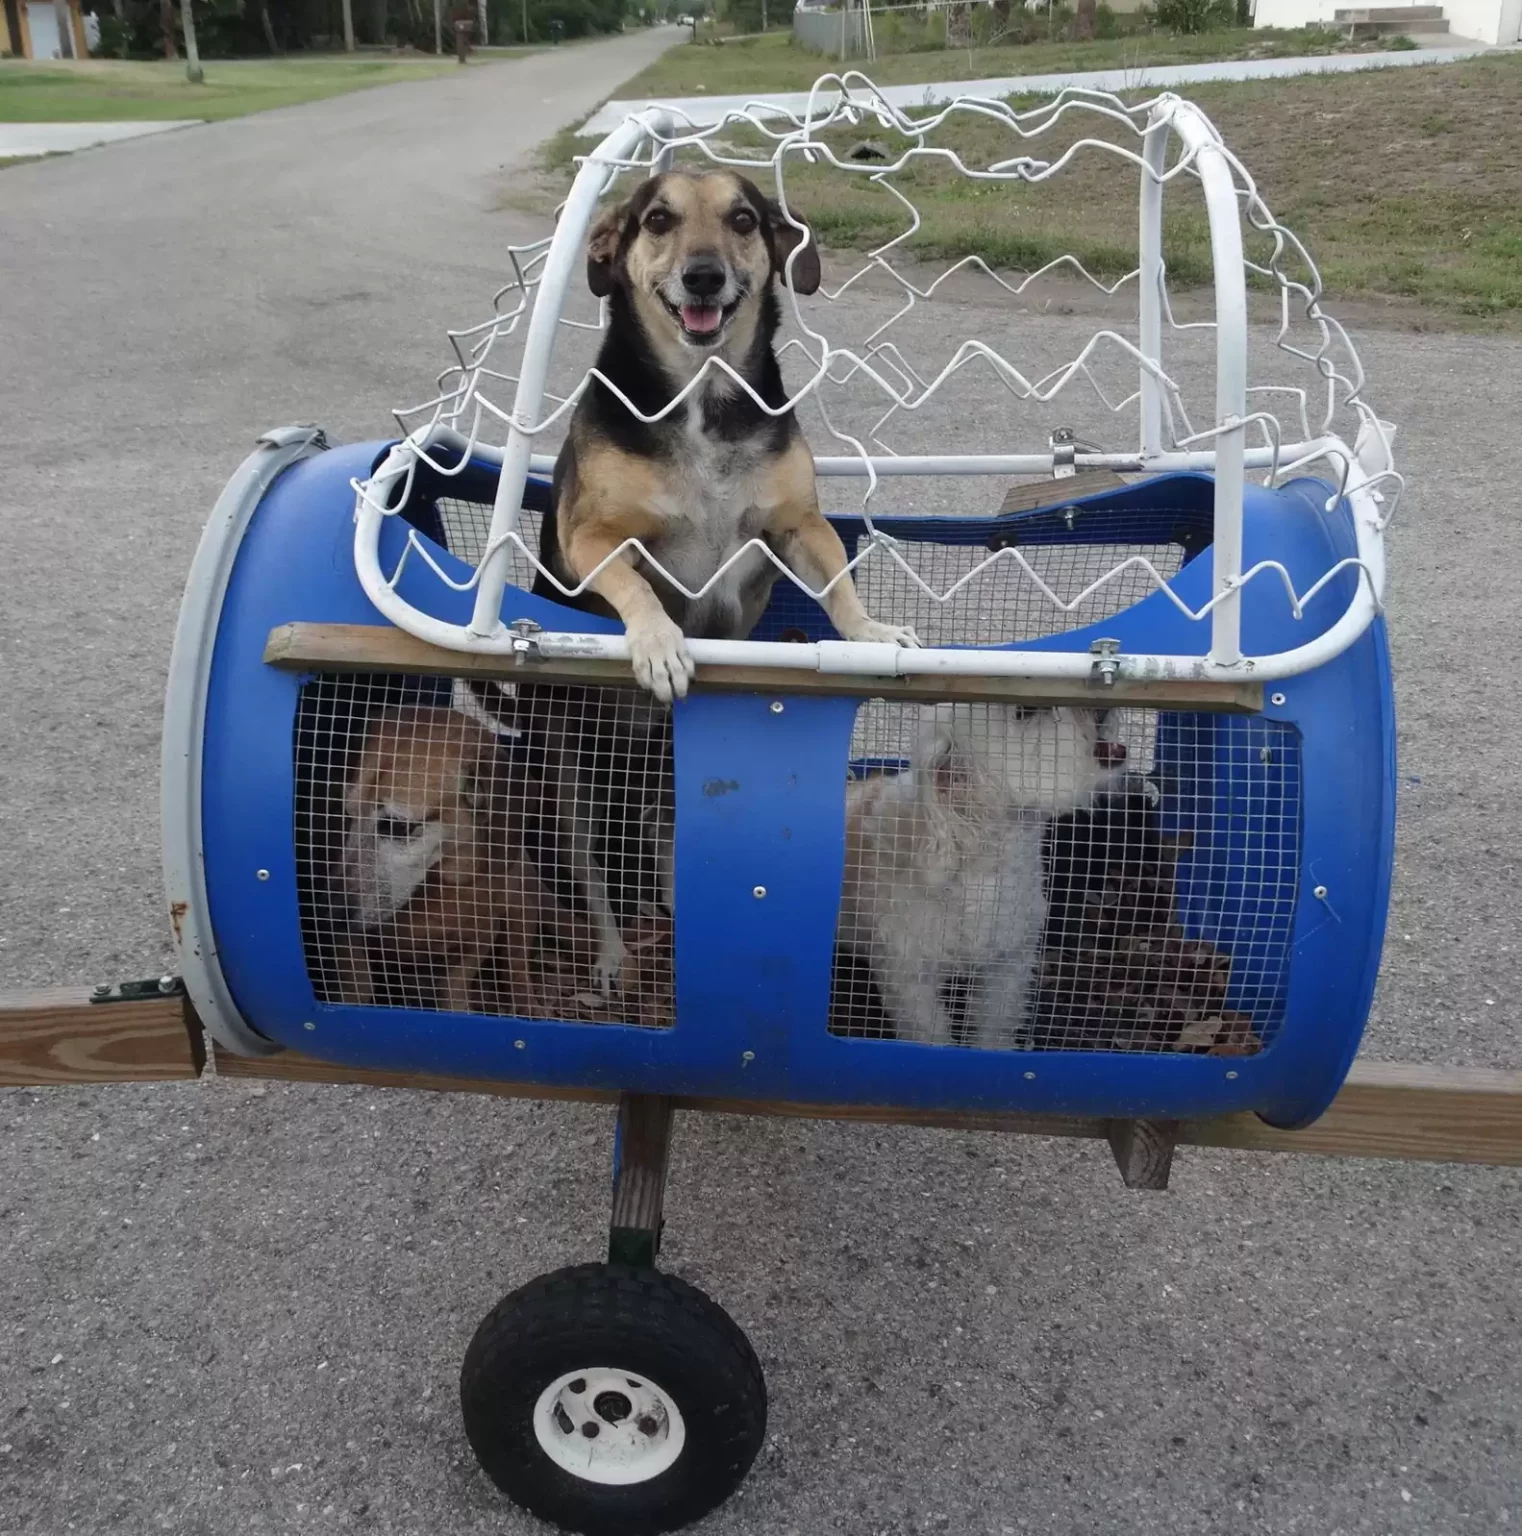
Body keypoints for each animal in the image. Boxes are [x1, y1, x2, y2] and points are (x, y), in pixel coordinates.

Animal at [531, 165, 915, 700]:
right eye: (657, 219)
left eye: (743, 219)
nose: (704, 277)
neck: (704, 392)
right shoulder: (590, 538)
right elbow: (636, 586)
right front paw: (659, 642)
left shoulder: (801, 524)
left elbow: (839, 583)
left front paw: (869, 631)